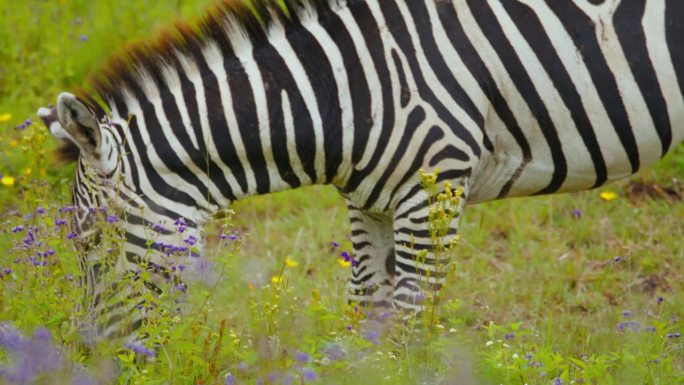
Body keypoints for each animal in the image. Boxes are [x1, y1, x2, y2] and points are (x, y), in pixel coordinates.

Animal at [38, 0, 684, 340]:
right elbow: (366, 305)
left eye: (93, 242)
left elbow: (407, 319)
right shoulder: (369, 202)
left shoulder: (432, 195)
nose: (94, 355)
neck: (345, 95)